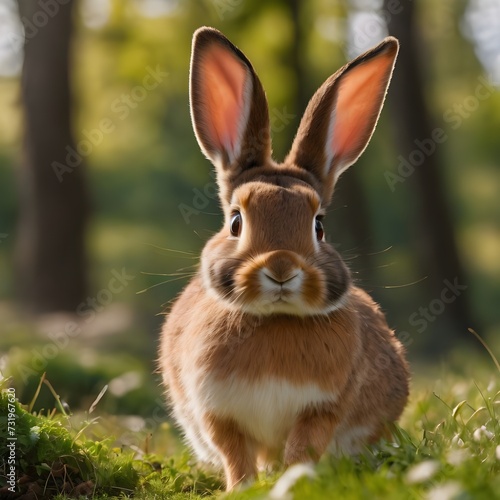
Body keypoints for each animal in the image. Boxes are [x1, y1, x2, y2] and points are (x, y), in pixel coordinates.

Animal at [160, 25, 410, 490]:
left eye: (319, 226)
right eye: (236, 221)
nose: (280, 268)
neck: (275, 320)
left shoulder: (322, 409)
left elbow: (301, 449)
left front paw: (294, 484)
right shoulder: (217, 412)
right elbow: (235, 455)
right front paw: (241, 490)